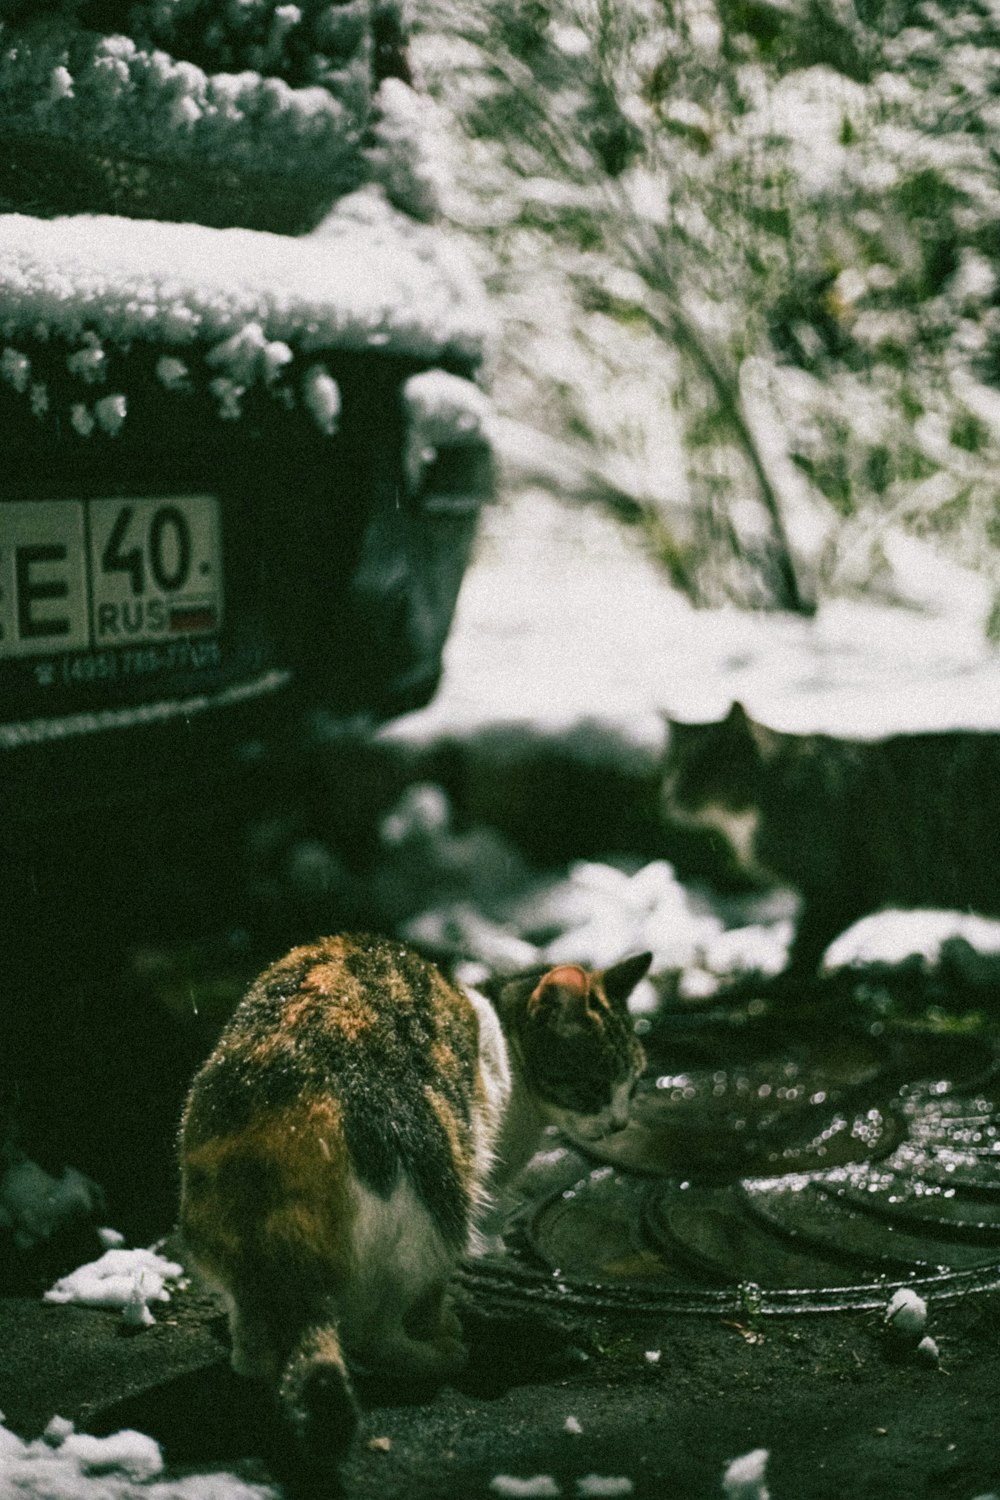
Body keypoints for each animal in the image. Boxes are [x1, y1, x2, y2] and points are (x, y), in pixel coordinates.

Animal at [179, 936, 650, 1464]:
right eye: (593, 1086)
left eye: (634, 1084)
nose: (619, 1123)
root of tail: (293, 1117)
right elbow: (433, 1296)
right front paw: (440, 1326)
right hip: (438, 1201)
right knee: (374, 1329)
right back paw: (434, 1356)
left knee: (259, 1341)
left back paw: (255, 1352)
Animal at [659, 705, 995, 984]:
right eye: (673, 765)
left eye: (702, 767)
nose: (670, 794)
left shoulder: (841, 886)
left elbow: (808, 938)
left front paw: (790, 976)